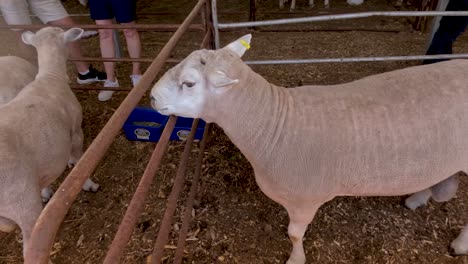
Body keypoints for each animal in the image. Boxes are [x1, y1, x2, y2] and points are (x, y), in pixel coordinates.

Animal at [0, 26, 98, 260]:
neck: (49, 77)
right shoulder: (76, 130)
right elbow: (80, 158)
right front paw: (88, 183)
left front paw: (46, 191)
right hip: (22, 202)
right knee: (31, 250)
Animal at [149, 34, 468, 262]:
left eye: (189, 83)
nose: (151, 97)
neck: (272, 122)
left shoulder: (305, 199)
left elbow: (293, 235)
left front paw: (296, 259)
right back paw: (418, 197)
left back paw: (459, 244)